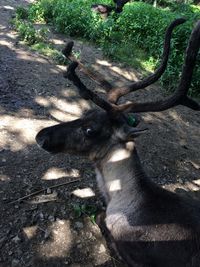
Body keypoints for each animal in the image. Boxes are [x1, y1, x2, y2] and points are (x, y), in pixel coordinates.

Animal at [36, 17, 200, 266]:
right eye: (84, 113)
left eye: (90, 130)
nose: (40, 136)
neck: (121, 196)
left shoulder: (132, 253)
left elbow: (100, 217)